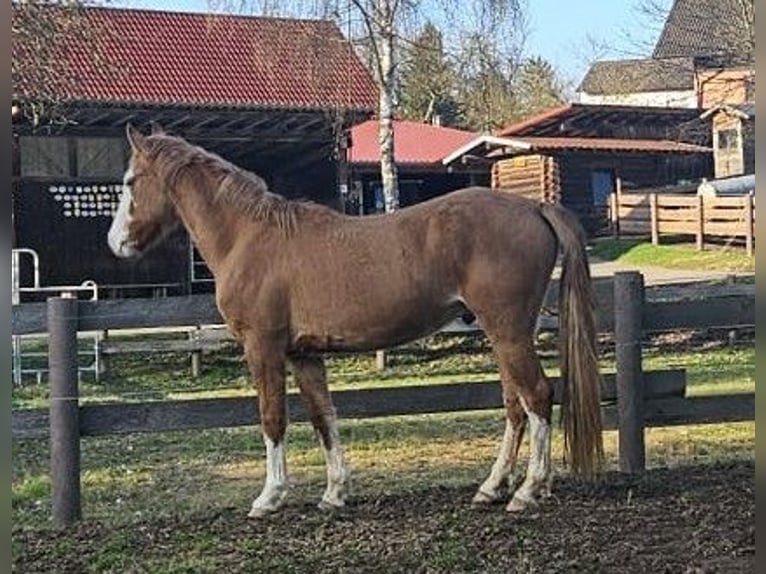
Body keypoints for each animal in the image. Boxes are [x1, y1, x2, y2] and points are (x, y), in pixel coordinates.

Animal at [108, 123, 603, 518]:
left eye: (130, 181)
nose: (116, 244)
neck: (250, 237)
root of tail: (534, 207)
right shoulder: (304, 354)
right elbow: (323, 417)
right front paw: (334, 493)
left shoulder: (263, 347)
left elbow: (272, 418)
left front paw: (269, 498)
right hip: (503, 335)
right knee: (515, 406)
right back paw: (493, 488)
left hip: (509, 332)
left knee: (537, 397)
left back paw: (528, 491)